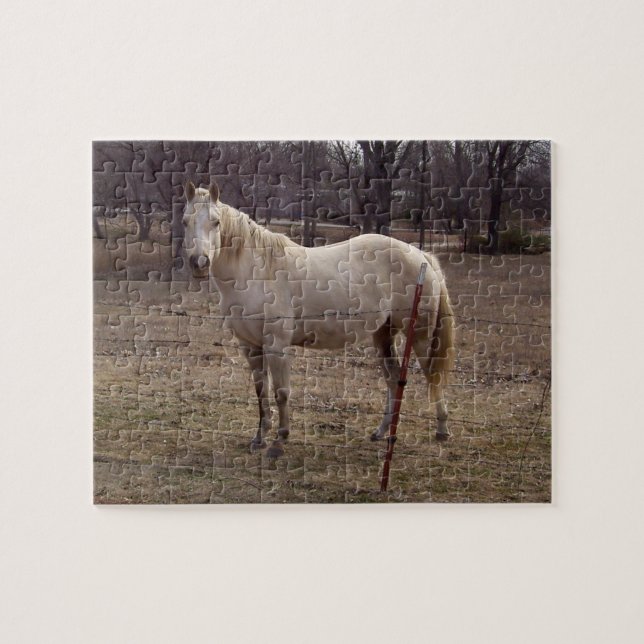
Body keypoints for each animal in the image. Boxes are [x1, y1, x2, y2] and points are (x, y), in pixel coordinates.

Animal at [182, 181, 455, 451]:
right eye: (185, 221)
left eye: (216, 222)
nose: (199, 263)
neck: (255, 273)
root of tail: (421, 256)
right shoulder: (250, 346)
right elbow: (261, 392)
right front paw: (259, 438)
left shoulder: (276, 345)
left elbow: (281, 392)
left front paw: (280, 439)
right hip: (383, 335)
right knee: (394, 379)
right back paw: (382, 432)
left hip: (418, 336)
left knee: (432, 376)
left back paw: (442, 429)